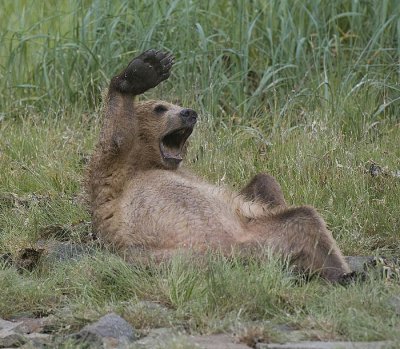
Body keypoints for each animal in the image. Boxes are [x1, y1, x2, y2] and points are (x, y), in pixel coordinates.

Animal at [86, 50, 352, 282]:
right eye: (160, 108)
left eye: (176, 104)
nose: (189, 113)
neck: (147, 161)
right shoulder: (114, 173)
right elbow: (116, 137)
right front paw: (144, 70)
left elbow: (257, 184)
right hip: (227, 249)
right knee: (303, 218)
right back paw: (340, 274)